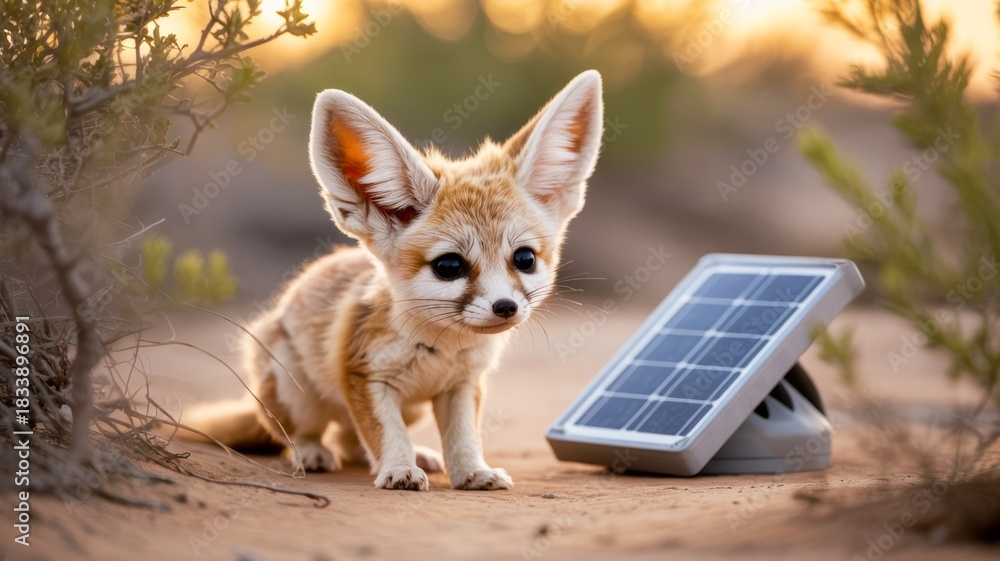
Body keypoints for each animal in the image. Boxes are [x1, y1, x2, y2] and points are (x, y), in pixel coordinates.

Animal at [181, 70, 604, 491]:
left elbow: (463, 438)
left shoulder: (462, 385)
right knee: (302, 435)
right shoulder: (365, 378)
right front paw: (400, 468)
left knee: (350, 440)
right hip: (297, 394)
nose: (506, 307)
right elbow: (386, 433)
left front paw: (473, 471)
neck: (439, 350)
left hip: (409, 409)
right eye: (449, 266)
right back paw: (312, 454)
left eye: (525, 259)